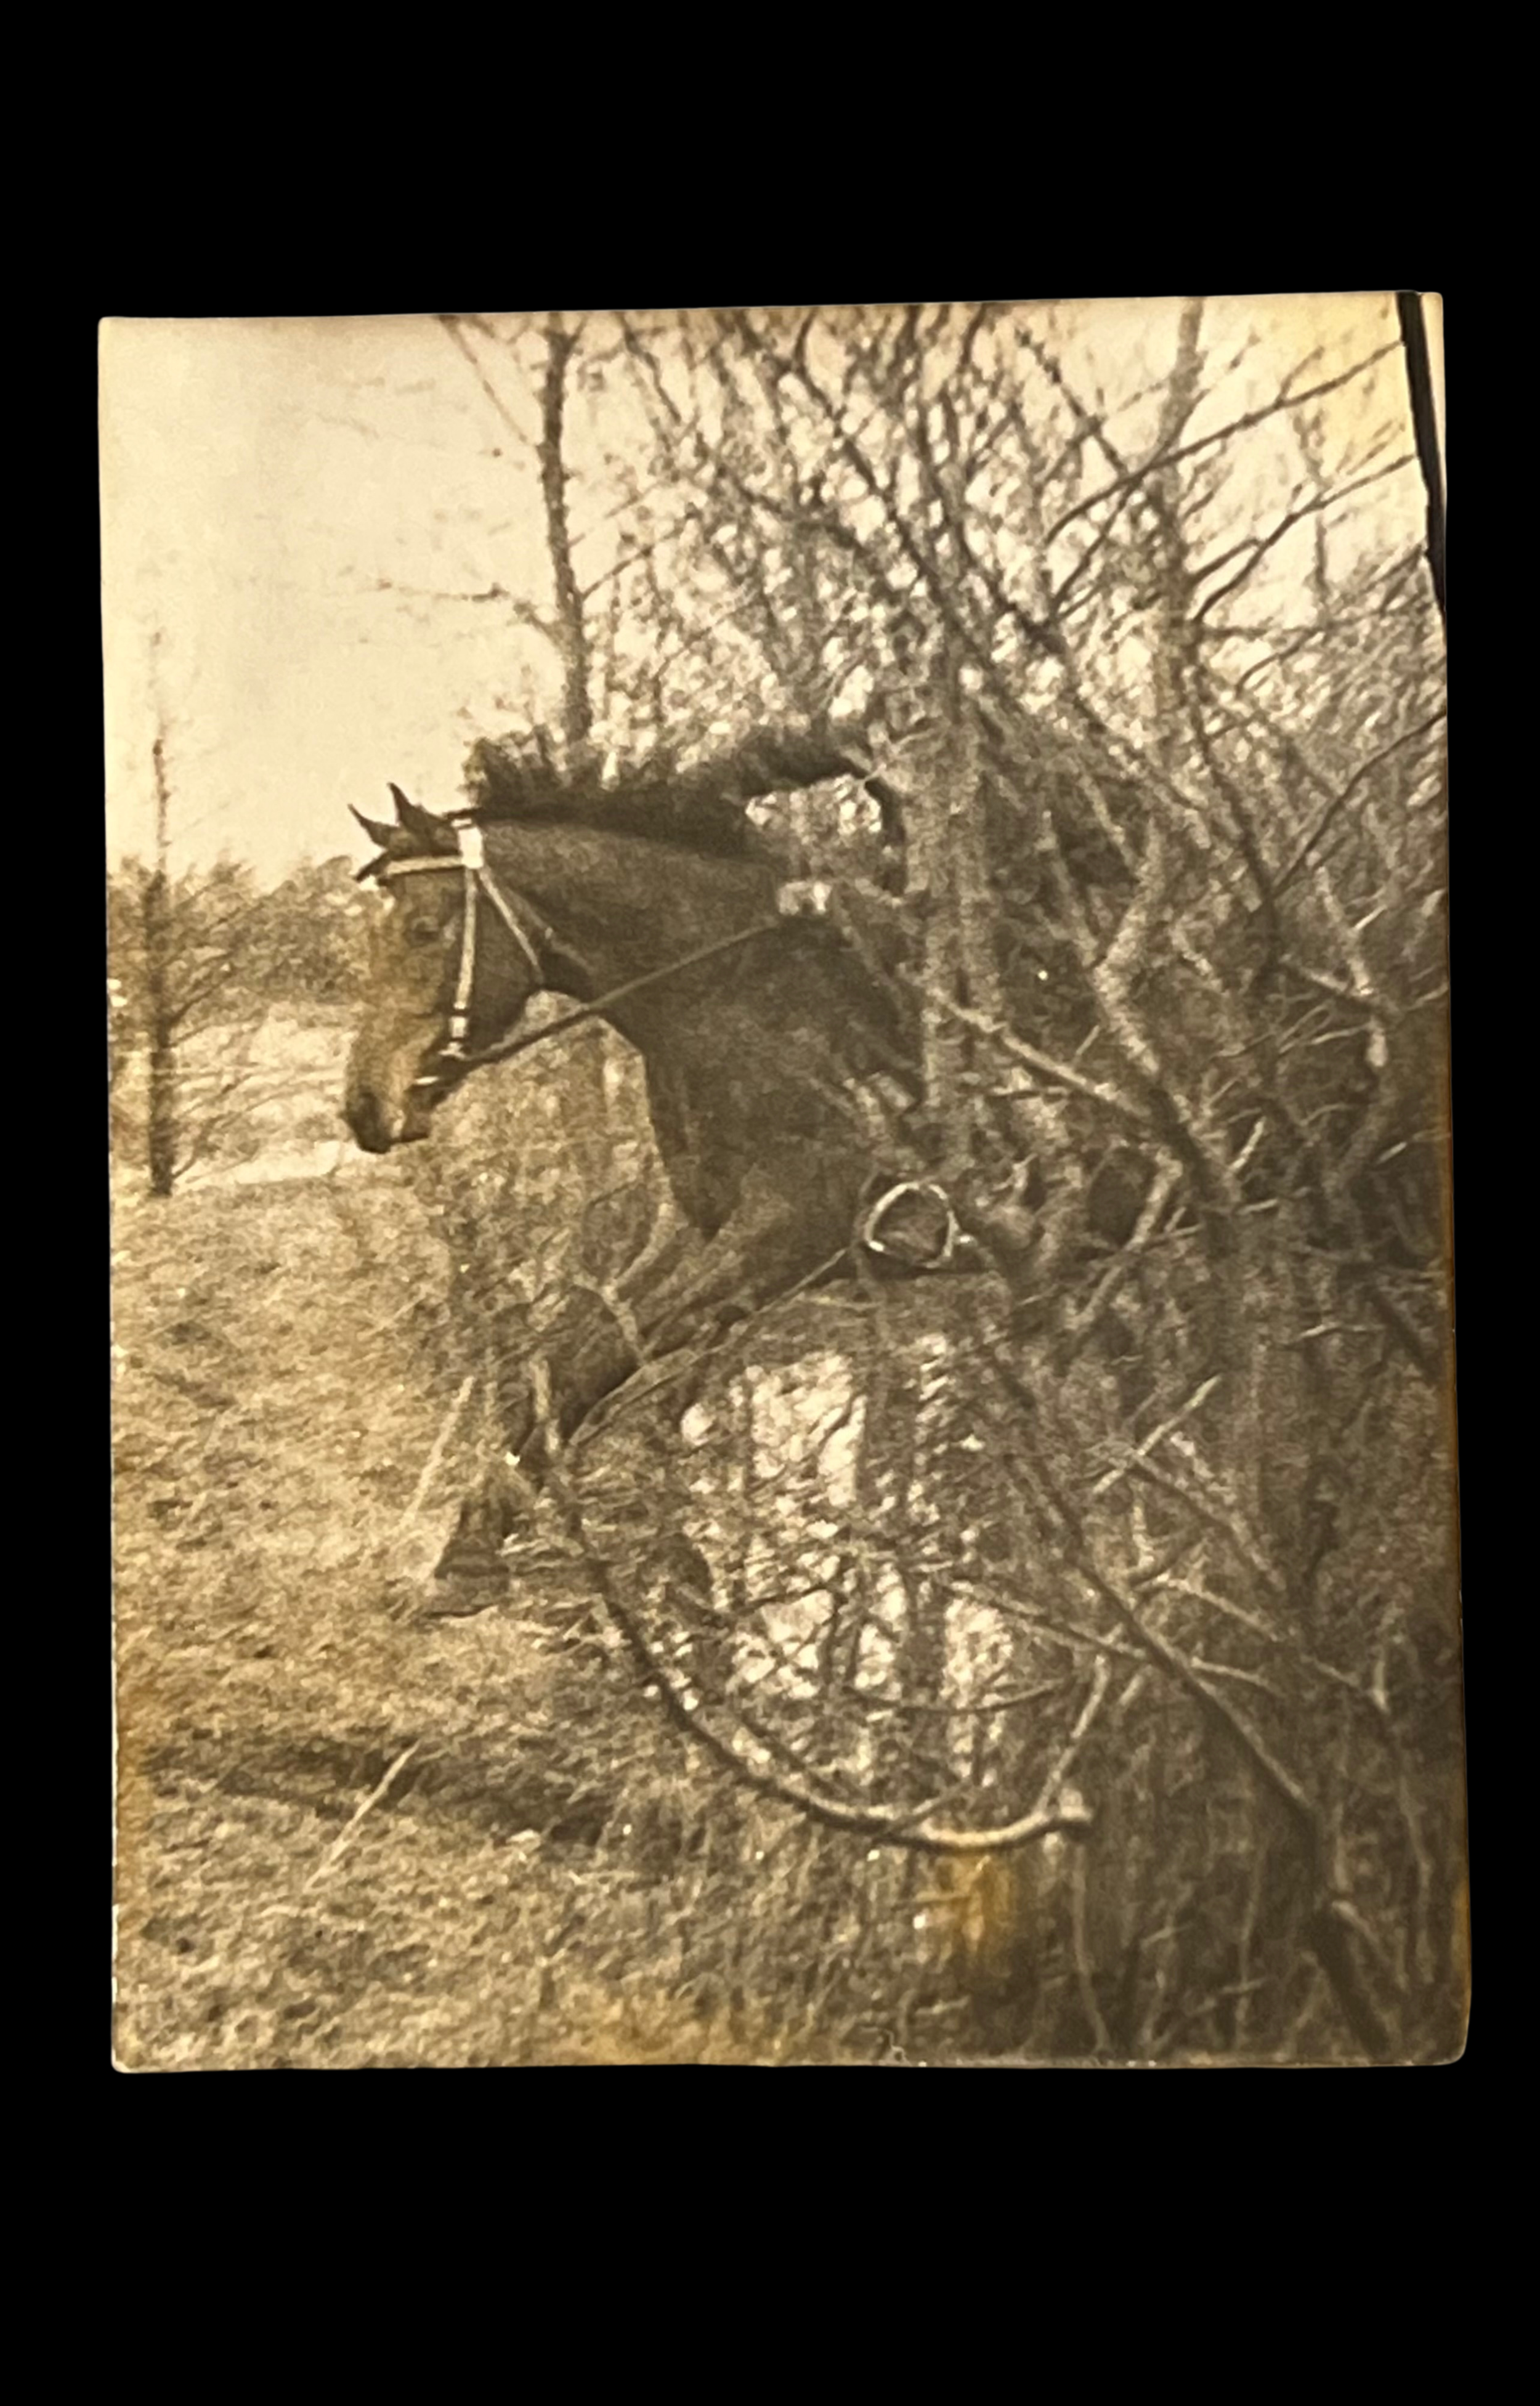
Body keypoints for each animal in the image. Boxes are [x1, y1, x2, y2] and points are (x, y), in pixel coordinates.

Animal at [342, 733, 945, 1613]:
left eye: (424, 930)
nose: (364, 1105)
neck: (748, 998)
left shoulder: (792, 1230)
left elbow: (605, 1359)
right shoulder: (702, 1229)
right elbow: (568, 1362)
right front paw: (474, 1546)